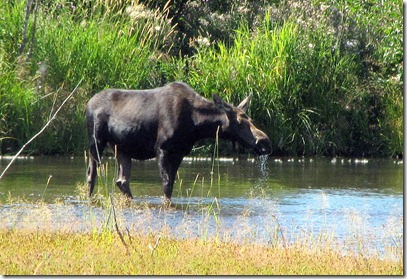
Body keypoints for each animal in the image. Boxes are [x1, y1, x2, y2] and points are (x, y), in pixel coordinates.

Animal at [86, 82, 272, 202]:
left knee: (122, 181)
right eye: (240, 122)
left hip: (122, 148)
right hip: (96, 142)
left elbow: (171, 186)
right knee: (91, 176)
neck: (196, 125)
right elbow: (166, 185)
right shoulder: (162, 149)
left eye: (251, 119)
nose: (264, 142)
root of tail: (87, 104)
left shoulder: (180, 152)